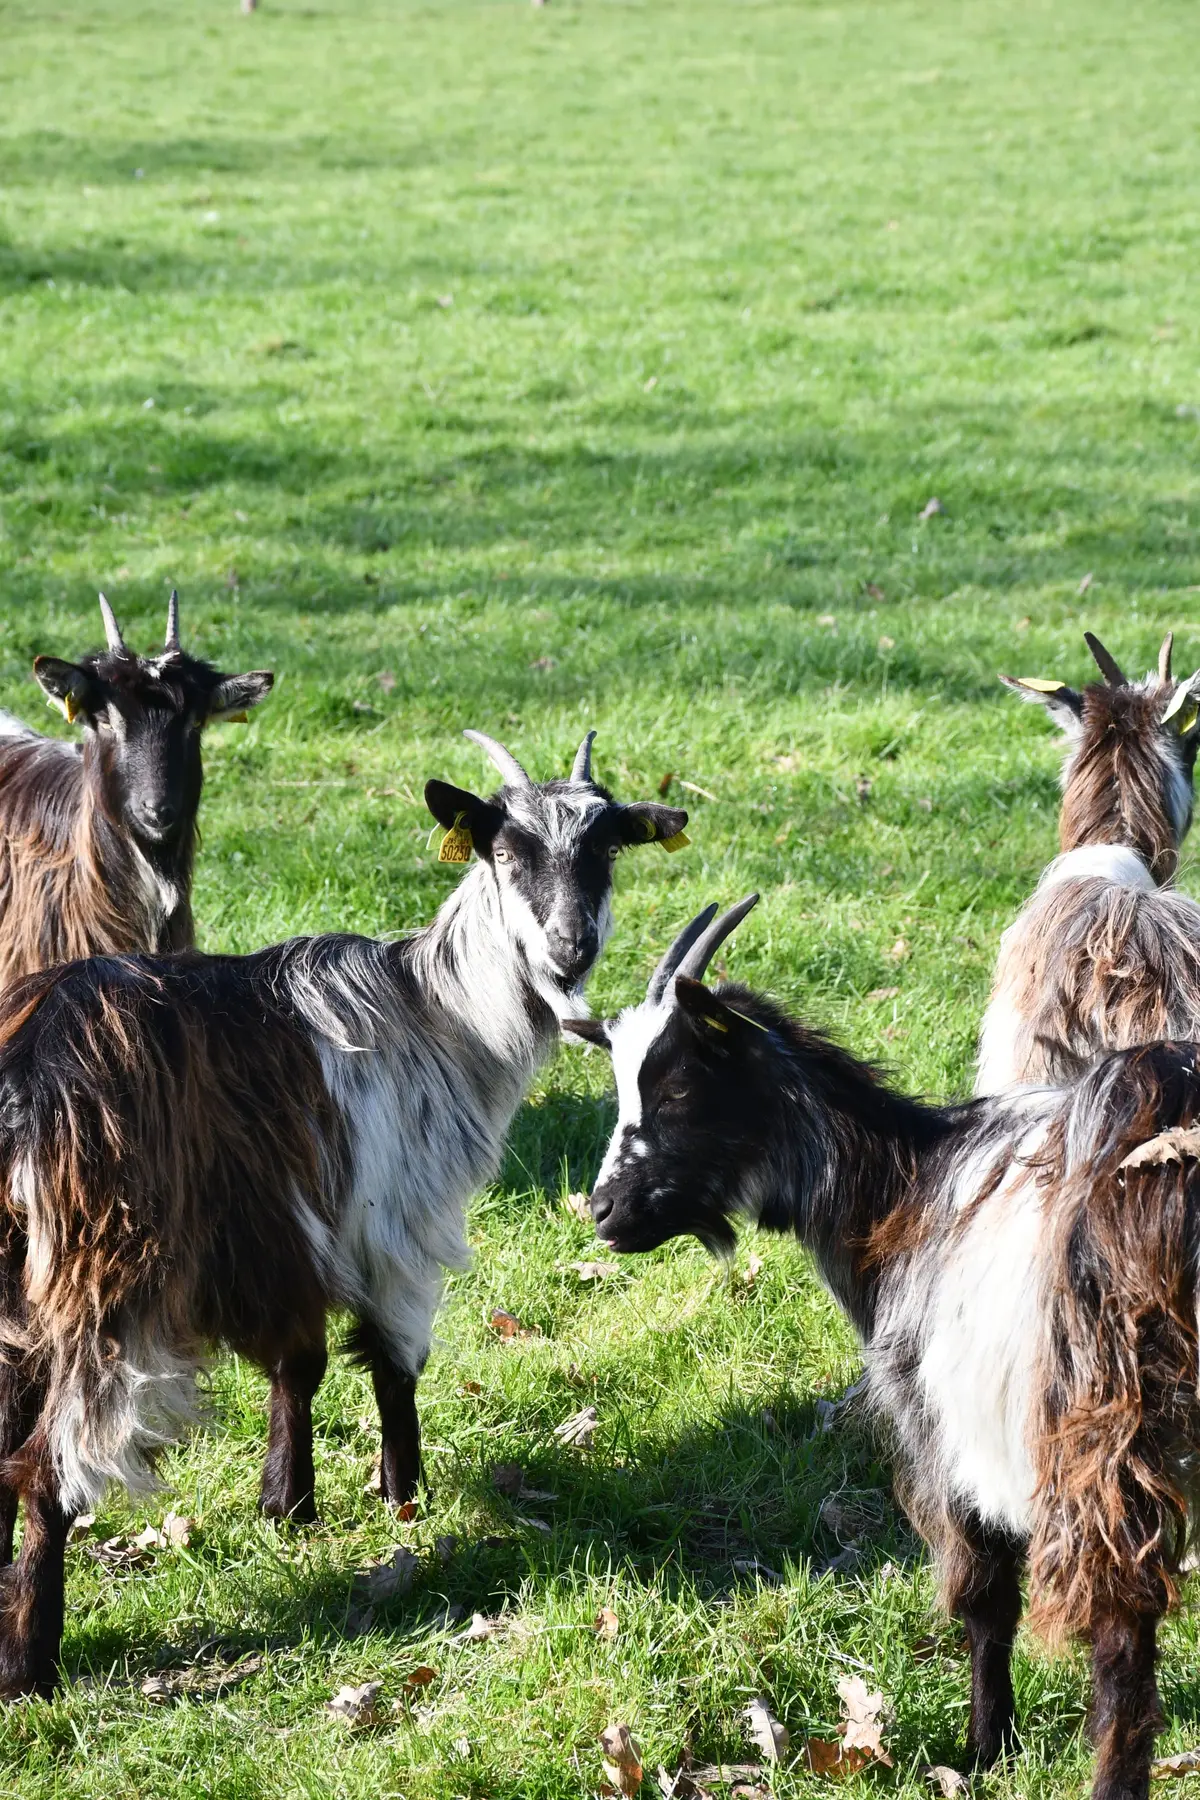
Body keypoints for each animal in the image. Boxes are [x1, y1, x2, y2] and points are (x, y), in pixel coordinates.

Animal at [0, 729, 686, 1697]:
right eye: (505, 850)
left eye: (606, 848)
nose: (570, 947)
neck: (440, 1014)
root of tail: (25, 1078)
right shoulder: (395, 1221)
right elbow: (393, 1361)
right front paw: (404, 1495)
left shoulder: (284, 1234)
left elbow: (301, 1363)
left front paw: (286, 1505)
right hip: (106, 1283)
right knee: (48, 1468)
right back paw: (30, 1660)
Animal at [567, 898, 1200, 1800]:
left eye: (680, 1083)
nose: (605, 1212)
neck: (900, 1191)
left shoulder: (940, 1430)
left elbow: (983, 1601)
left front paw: (985, 1747)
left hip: (1103, 1429)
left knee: (1121, 1637)